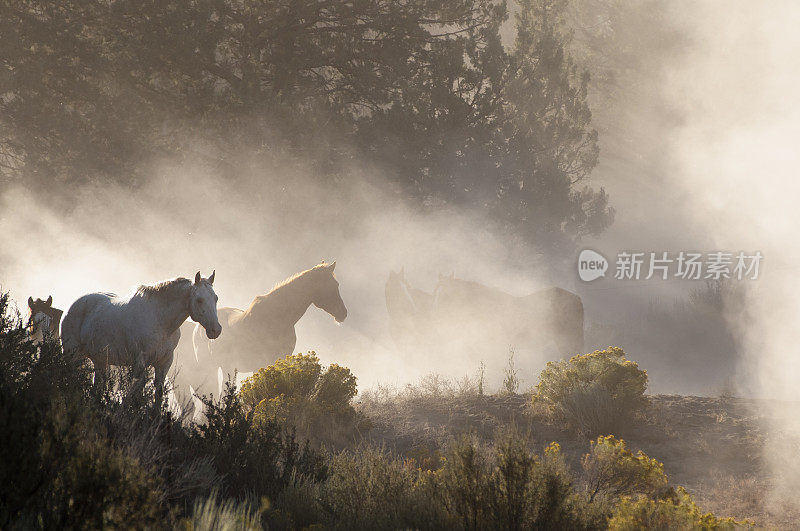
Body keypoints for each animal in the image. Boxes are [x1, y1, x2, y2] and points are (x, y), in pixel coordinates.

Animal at [61, 270, 222, 400]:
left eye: (216, 298)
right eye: (199, 300)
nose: (216, 330)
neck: (160, 321)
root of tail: (71, 306)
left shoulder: (164, 363)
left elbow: (158, 395)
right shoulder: (140, 363)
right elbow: (135, 395)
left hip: (100, 361)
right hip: (71, 355)